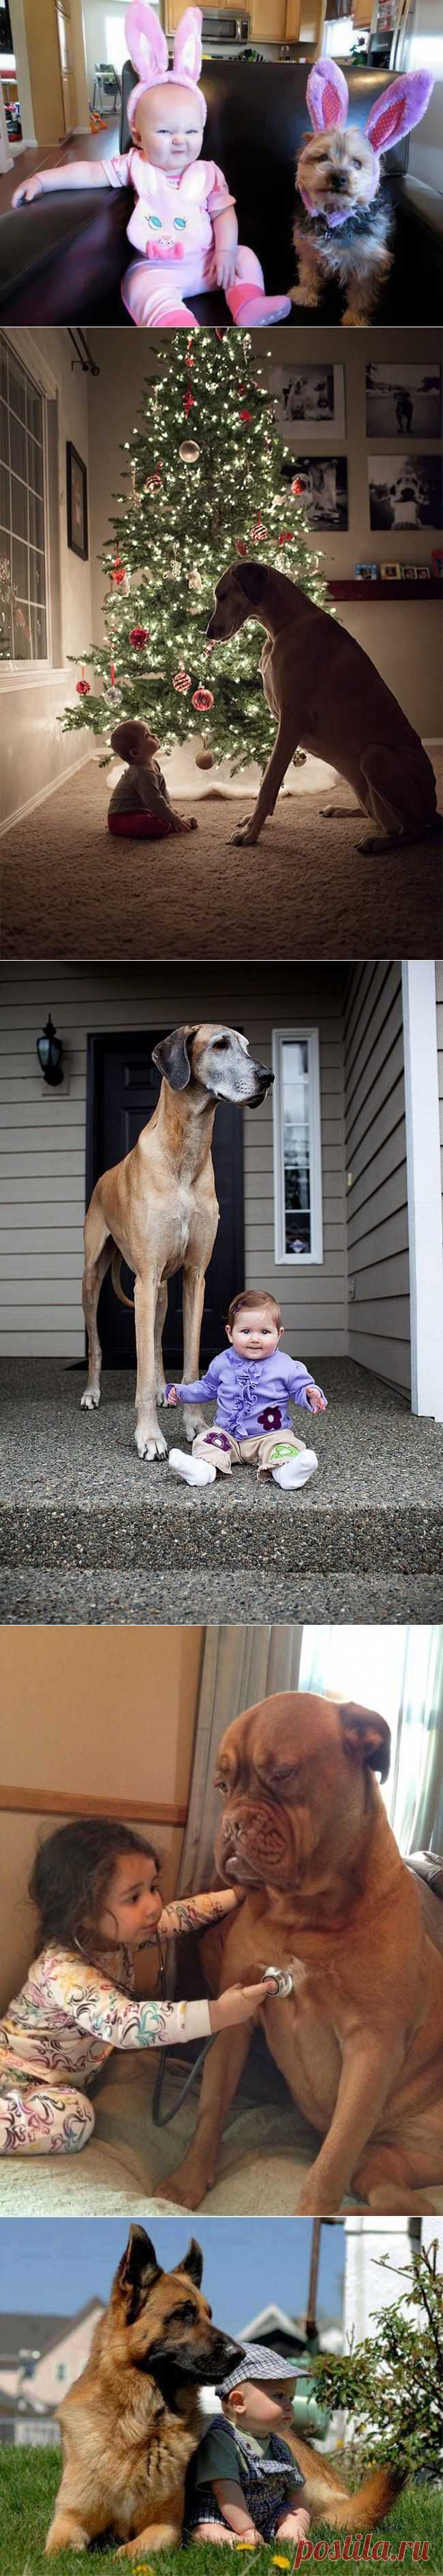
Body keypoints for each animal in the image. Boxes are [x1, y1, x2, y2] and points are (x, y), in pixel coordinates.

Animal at [45, 2215, 242, 2555]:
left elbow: (126, 2553)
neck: (136, 2427)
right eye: (184, 2314)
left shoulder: (165, 2528)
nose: (240, 2354)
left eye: (209, 2315)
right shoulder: (70, 2519)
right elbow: (55, 2553)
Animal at [161, 1690, 443, 2215]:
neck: (304, 1914)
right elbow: (210, 2110)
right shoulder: (235, 2017)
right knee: (381, 2183)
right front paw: (187, 2181)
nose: (232, 1822)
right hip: (383, 2158)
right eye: (223, 1785)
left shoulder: (371, 2049)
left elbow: (329, 2164)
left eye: (283, 1774)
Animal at [292, 59, 435, 327]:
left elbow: (362, 293)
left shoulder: (369, 264)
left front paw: (355, 319)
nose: (339, 177)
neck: (336, 218)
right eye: (323, 158)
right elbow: (309, 271)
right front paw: (306, 294)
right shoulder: (308, 247)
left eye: (357, 163)